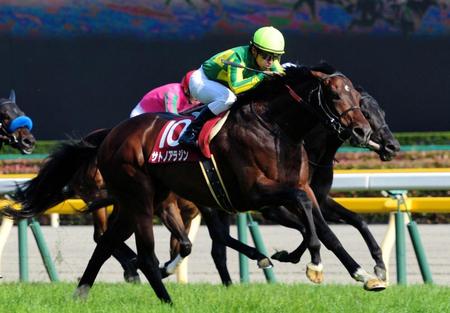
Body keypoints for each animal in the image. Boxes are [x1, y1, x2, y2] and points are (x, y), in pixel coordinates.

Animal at [5, 64, 374, 302]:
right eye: (333, 95)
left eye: (357, 96)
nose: (362, 131)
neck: (275, 127)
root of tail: (111, 134)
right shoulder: (254, 193)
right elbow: (303, 210)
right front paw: (312, 261)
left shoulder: (292, 192)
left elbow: (318, 223)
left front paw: (364, 274)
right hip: (140, 197)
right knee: (146, 255)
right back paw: (167, 299)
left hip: (140, 199)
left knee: (107, 242)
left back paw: (82, 291)